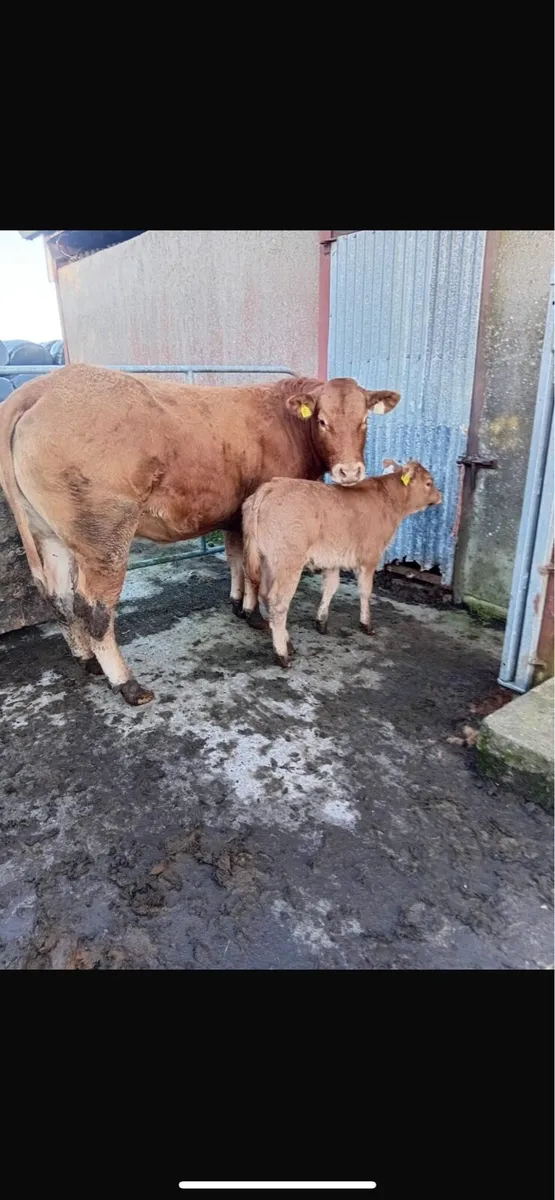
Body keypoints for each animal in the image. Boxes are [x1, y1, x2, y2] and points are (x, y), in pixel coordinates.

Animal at [0, 365, 401, 704]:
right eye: (321, 420)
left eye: (365, 420)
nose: (350, 471)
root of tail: (44, 386)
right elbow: (256, 571)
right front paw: (257, 616)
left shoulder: (236, 515)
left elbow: (237, 560)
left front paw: (239, 604)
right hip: (104, 536)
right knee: (93, 606)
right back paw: (127, 684)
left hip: (48, 533)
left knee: (59, 597)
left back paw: (86, 660)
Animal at [242, 460, 442, 667]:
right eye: (429, 482)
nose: (440, 496)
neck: (388, 500)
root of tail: (270, 487)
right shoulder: (369, 558)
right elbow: (365, 591)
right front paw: (366, 624)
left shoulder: (333, 559)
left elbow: (330, 588)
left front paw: (321, 622)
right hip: (288, 563)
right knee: (278, 603)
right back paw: (282, 654)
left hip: (266, 560)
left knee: (264, 595)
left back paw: (287, 642)